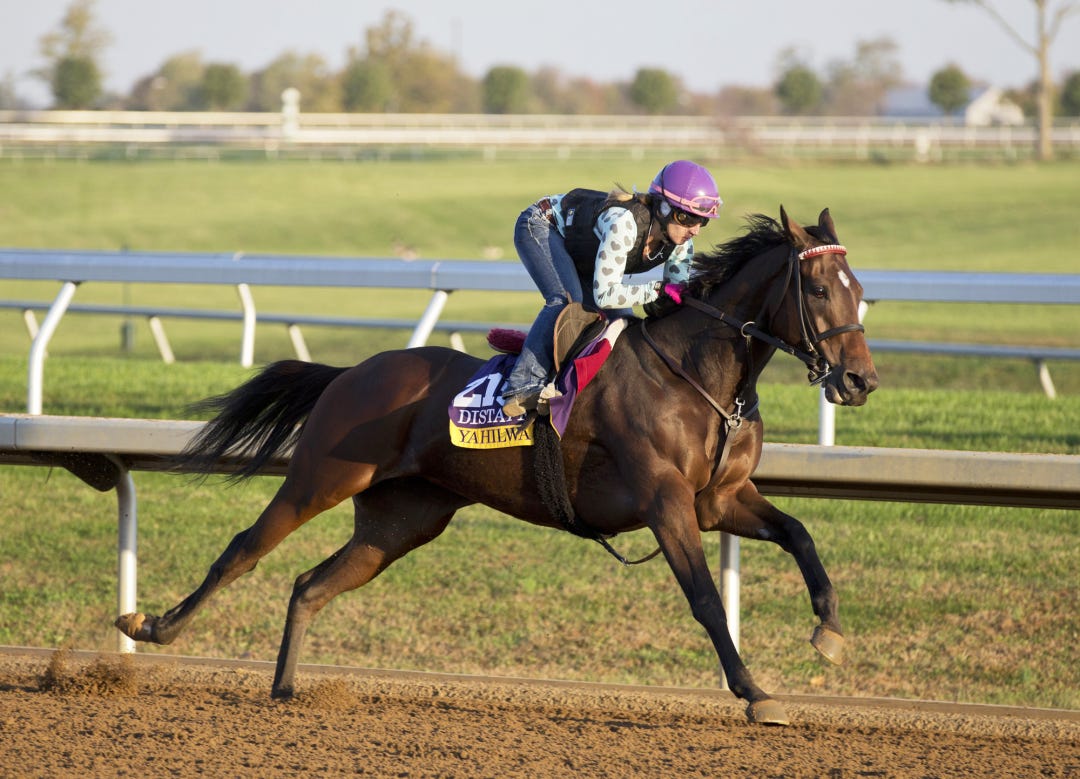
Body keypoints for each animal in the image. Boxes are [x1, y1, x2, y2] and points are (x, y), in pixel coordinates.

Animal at [116, 206, 878, 725]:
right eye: (817, 291)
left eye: (860, 286)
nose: (860, 380)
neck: (695, 374)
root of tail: (352, 371)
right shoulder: (666, 503)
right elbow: (706, 599)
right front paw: (754, 692)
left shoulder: (720, 498)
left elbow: (802, 535)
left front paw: (830, 633)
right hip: (320, 478)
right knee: (244, 549)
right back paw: (152, 627)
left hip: (401, 521)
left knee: (311, 583)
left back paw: (284, 687)